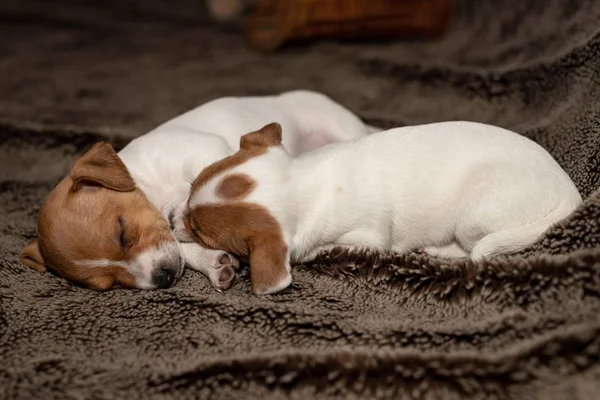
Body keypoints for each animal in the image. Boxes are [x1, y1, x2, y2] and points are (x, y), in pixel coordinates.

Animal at [184, 122, 580, 294]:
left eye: (200, 231)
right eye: (189, 191)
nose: (176, 218)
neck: (302, 182)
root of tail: (569, 192)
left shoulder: (368, 237)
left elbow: (326, 247)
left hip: (472, 217)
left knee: (473, 249)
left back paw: (441, 250)